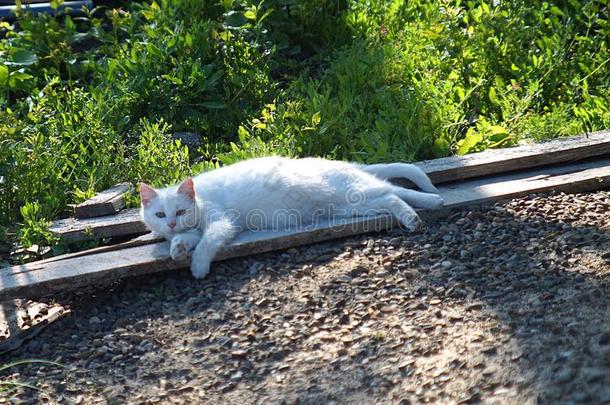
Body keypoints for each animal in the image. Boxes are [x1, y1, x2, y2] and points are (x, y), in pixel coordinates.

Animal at [138, 157, 442, 278]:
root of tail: (351, 164)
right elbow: (189, 237)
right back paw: (418, 211)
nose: (171, 222)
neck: (199, 202)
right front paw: (177, 247)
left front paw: (198, 267)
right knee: (391, 197)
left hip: (355, 192)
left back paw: (430, 203)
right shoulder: (193, 229)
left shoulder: (221, 221)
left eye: (180, 210)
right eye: (160, 214)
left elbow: (207, 242)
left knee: (396, 191)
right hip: (351, 205)